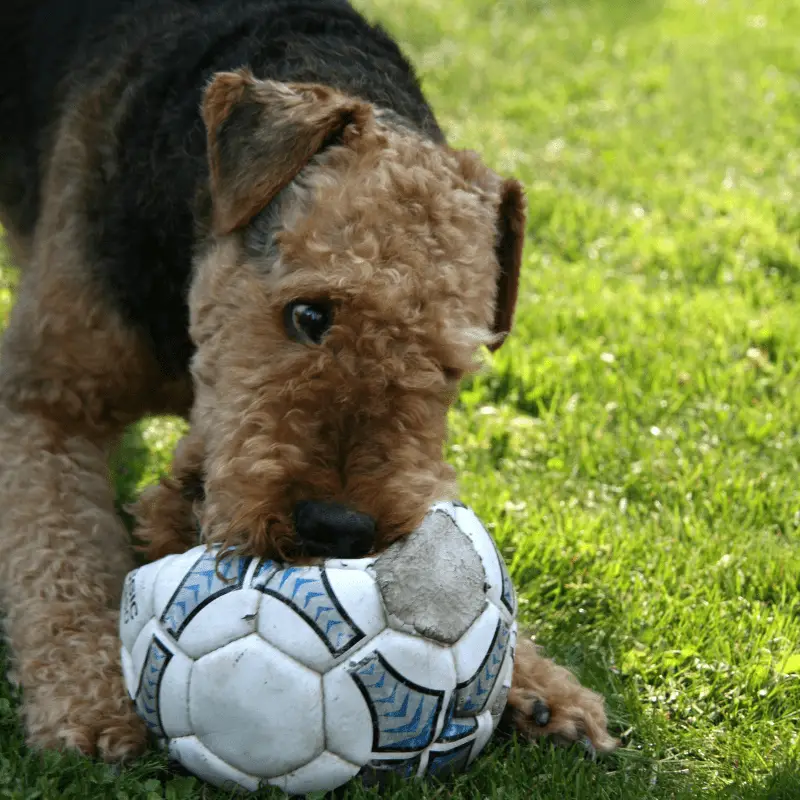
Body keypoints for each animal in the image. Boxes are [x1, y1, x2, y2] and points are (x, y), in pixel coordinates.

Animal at [0, 0, 620, 764]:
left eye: (449, 367)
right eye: (309, 313)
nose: (340, 529)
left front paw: (541, 688)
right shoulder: (49, 401)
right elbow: (58, 551)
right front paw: (88, 701)